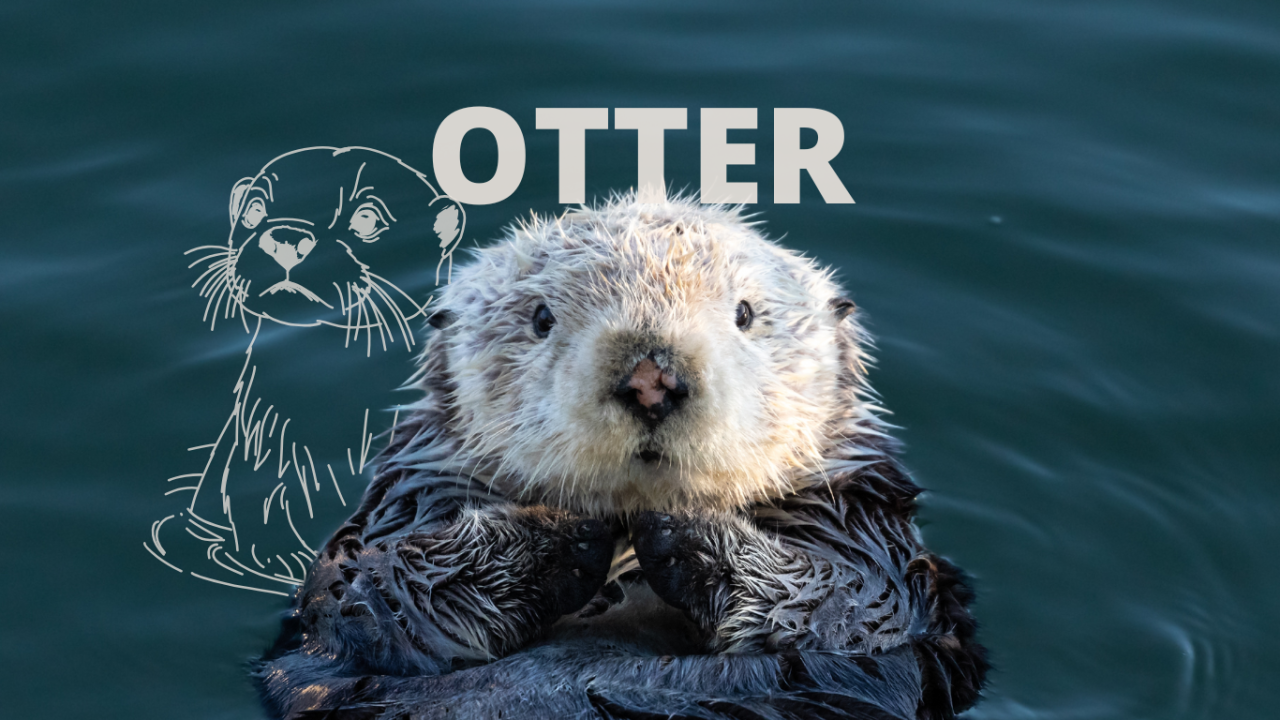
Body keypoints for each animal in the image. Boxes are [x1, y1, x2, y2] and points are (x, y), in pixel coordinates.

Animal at [255, 193, 987, 719]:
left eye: (746, 314)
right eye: (541, 319)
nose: (651, 379)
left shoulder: (875, 552)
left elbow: (840, 604)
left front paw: (677, 526)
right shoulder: (395, 526)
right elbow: (376, 592)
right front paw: (566, 528)